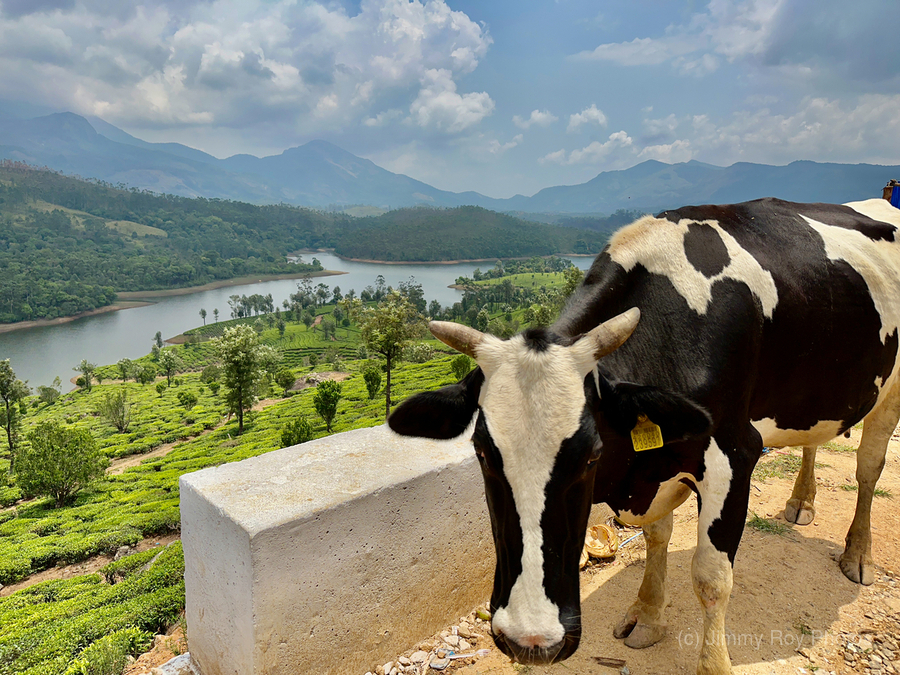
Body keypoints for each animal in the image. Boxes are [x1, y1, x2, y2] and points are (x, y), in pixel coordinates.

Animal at [387, 197, 900, 674]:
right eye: (481, 452)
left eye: (592, 455)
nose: (530, 640)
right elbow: (657, 535)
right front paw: (648, 615)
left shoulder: (734, 454)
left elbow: (711, 577)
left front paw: (712, 662)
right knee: (814, 438)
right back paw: (801, 501)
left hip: (891, 390)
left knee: (869, 467)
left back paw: (858, 554)